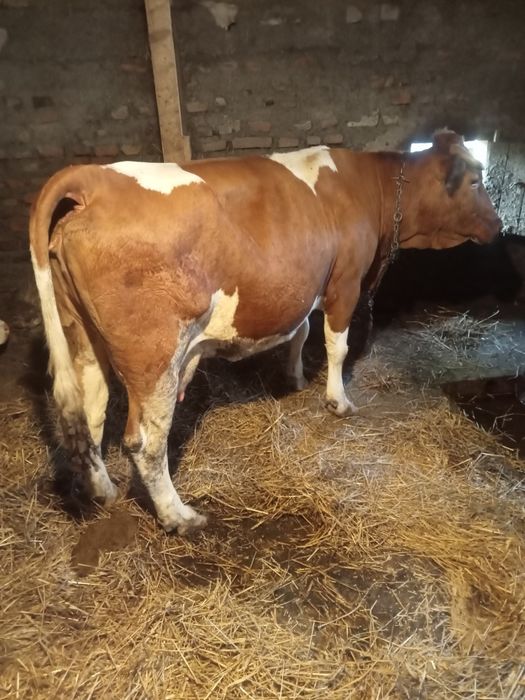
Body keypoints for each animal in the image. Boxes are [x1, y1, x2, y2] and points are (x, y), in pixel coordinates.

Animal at [29, 129, 501, 533]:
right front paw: (338, 401)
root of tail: (96, 178)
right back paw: (179, 516)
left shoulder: (305, 283)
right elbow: (337, 345)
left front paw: (293, 378)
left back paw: (103, 490)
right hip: (154, 354)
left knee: (91, 412)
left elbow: (301, 330)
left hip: (83, 336)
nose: (498, 227)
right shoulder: (344, 282)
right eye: (476, 179)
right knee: (145, 441)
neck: (371, 189)